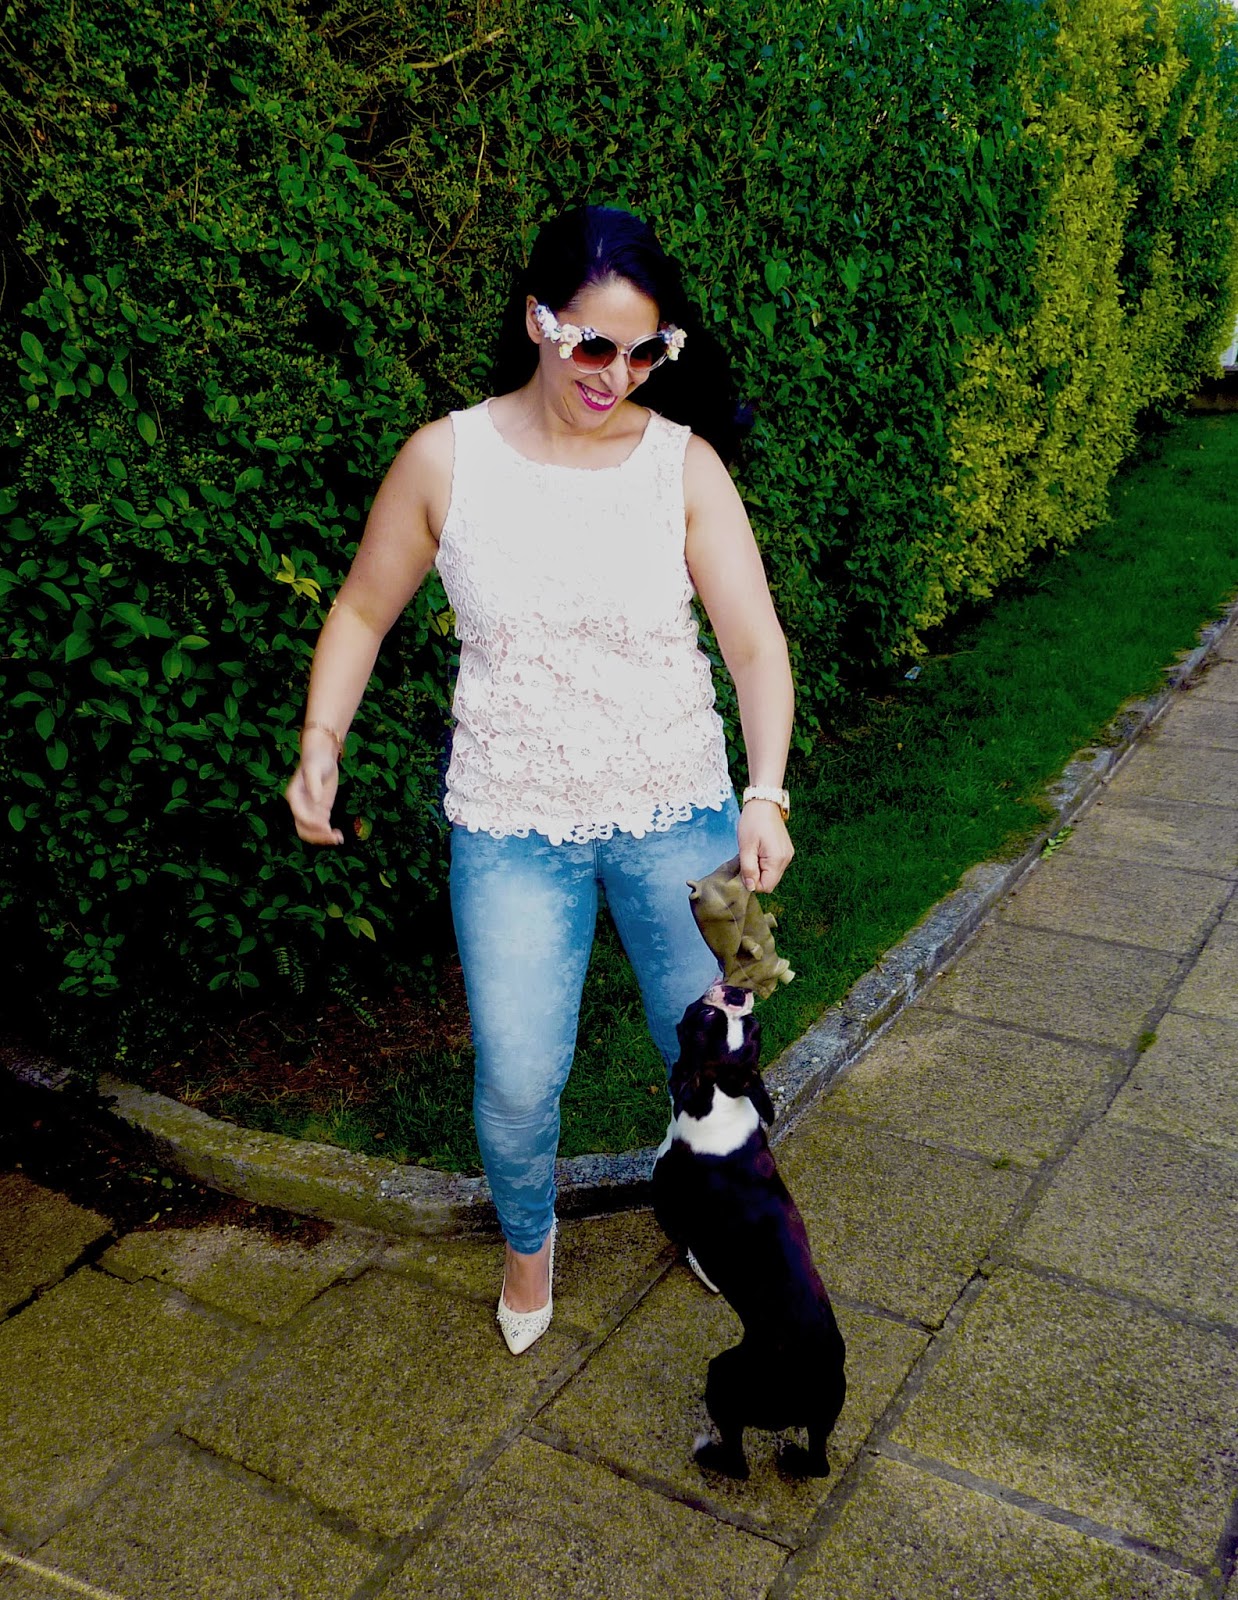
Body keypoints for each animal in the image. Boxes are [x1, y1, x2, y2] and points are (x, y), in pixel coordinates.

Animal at [651, 982, 846, 1480]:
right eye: (755, 1031)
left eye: (702, 1019)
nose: (737, 992)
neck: (720, 1095)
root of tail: (805, 1385)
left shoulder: (666, 1203)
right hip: (827, 1412)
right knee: (819, 1459)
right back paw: (798, 1459)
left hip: (725, 1379)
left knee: (739, 1460)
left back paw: (711, 1456)